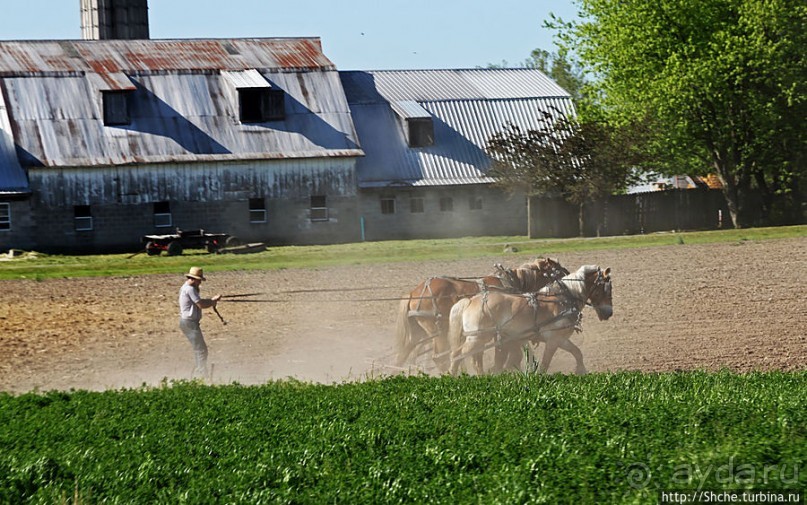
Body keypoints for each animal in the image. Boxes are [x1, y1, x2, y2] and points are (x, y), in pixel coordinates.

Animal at [396, 256, 568, 370]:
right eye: (559, 271)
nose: (569, 279)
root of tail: (413, 293)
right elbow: (499, 355)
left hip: (419, 331)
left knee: (404, 352)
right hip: (438, 331)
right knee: (439, 357)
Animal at [448, 264, 612, 374]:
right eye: (606, 288)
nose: (609, 313)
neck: (562, 299)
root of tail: (470, 300)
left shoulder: (561, 339)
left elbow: (577, 352)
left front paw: (581, 371)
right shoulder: (554, 339)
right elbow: (545, 363)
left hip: (480, 339)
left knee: (472, 358)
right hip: (477, 338)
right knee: (457, 354)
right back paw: (452, 376)